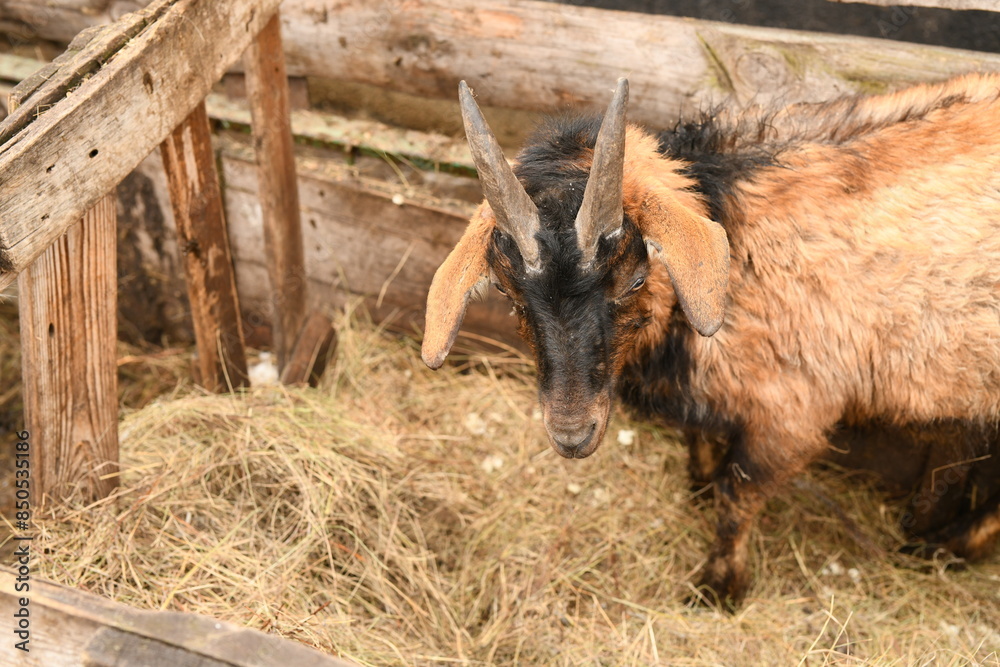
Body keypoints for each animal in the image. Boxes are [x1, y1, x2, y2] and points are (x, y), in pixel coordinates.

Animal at [420, 75, 1000, 608]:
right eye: (507, 290)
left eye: (635, 278)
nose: (571, 434)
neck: (736, 246)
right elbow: (697, 440)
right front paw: (696, 489)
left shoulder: (792, 414)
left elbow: (735, 496)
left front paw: (718, 588)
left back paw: (943, 547)